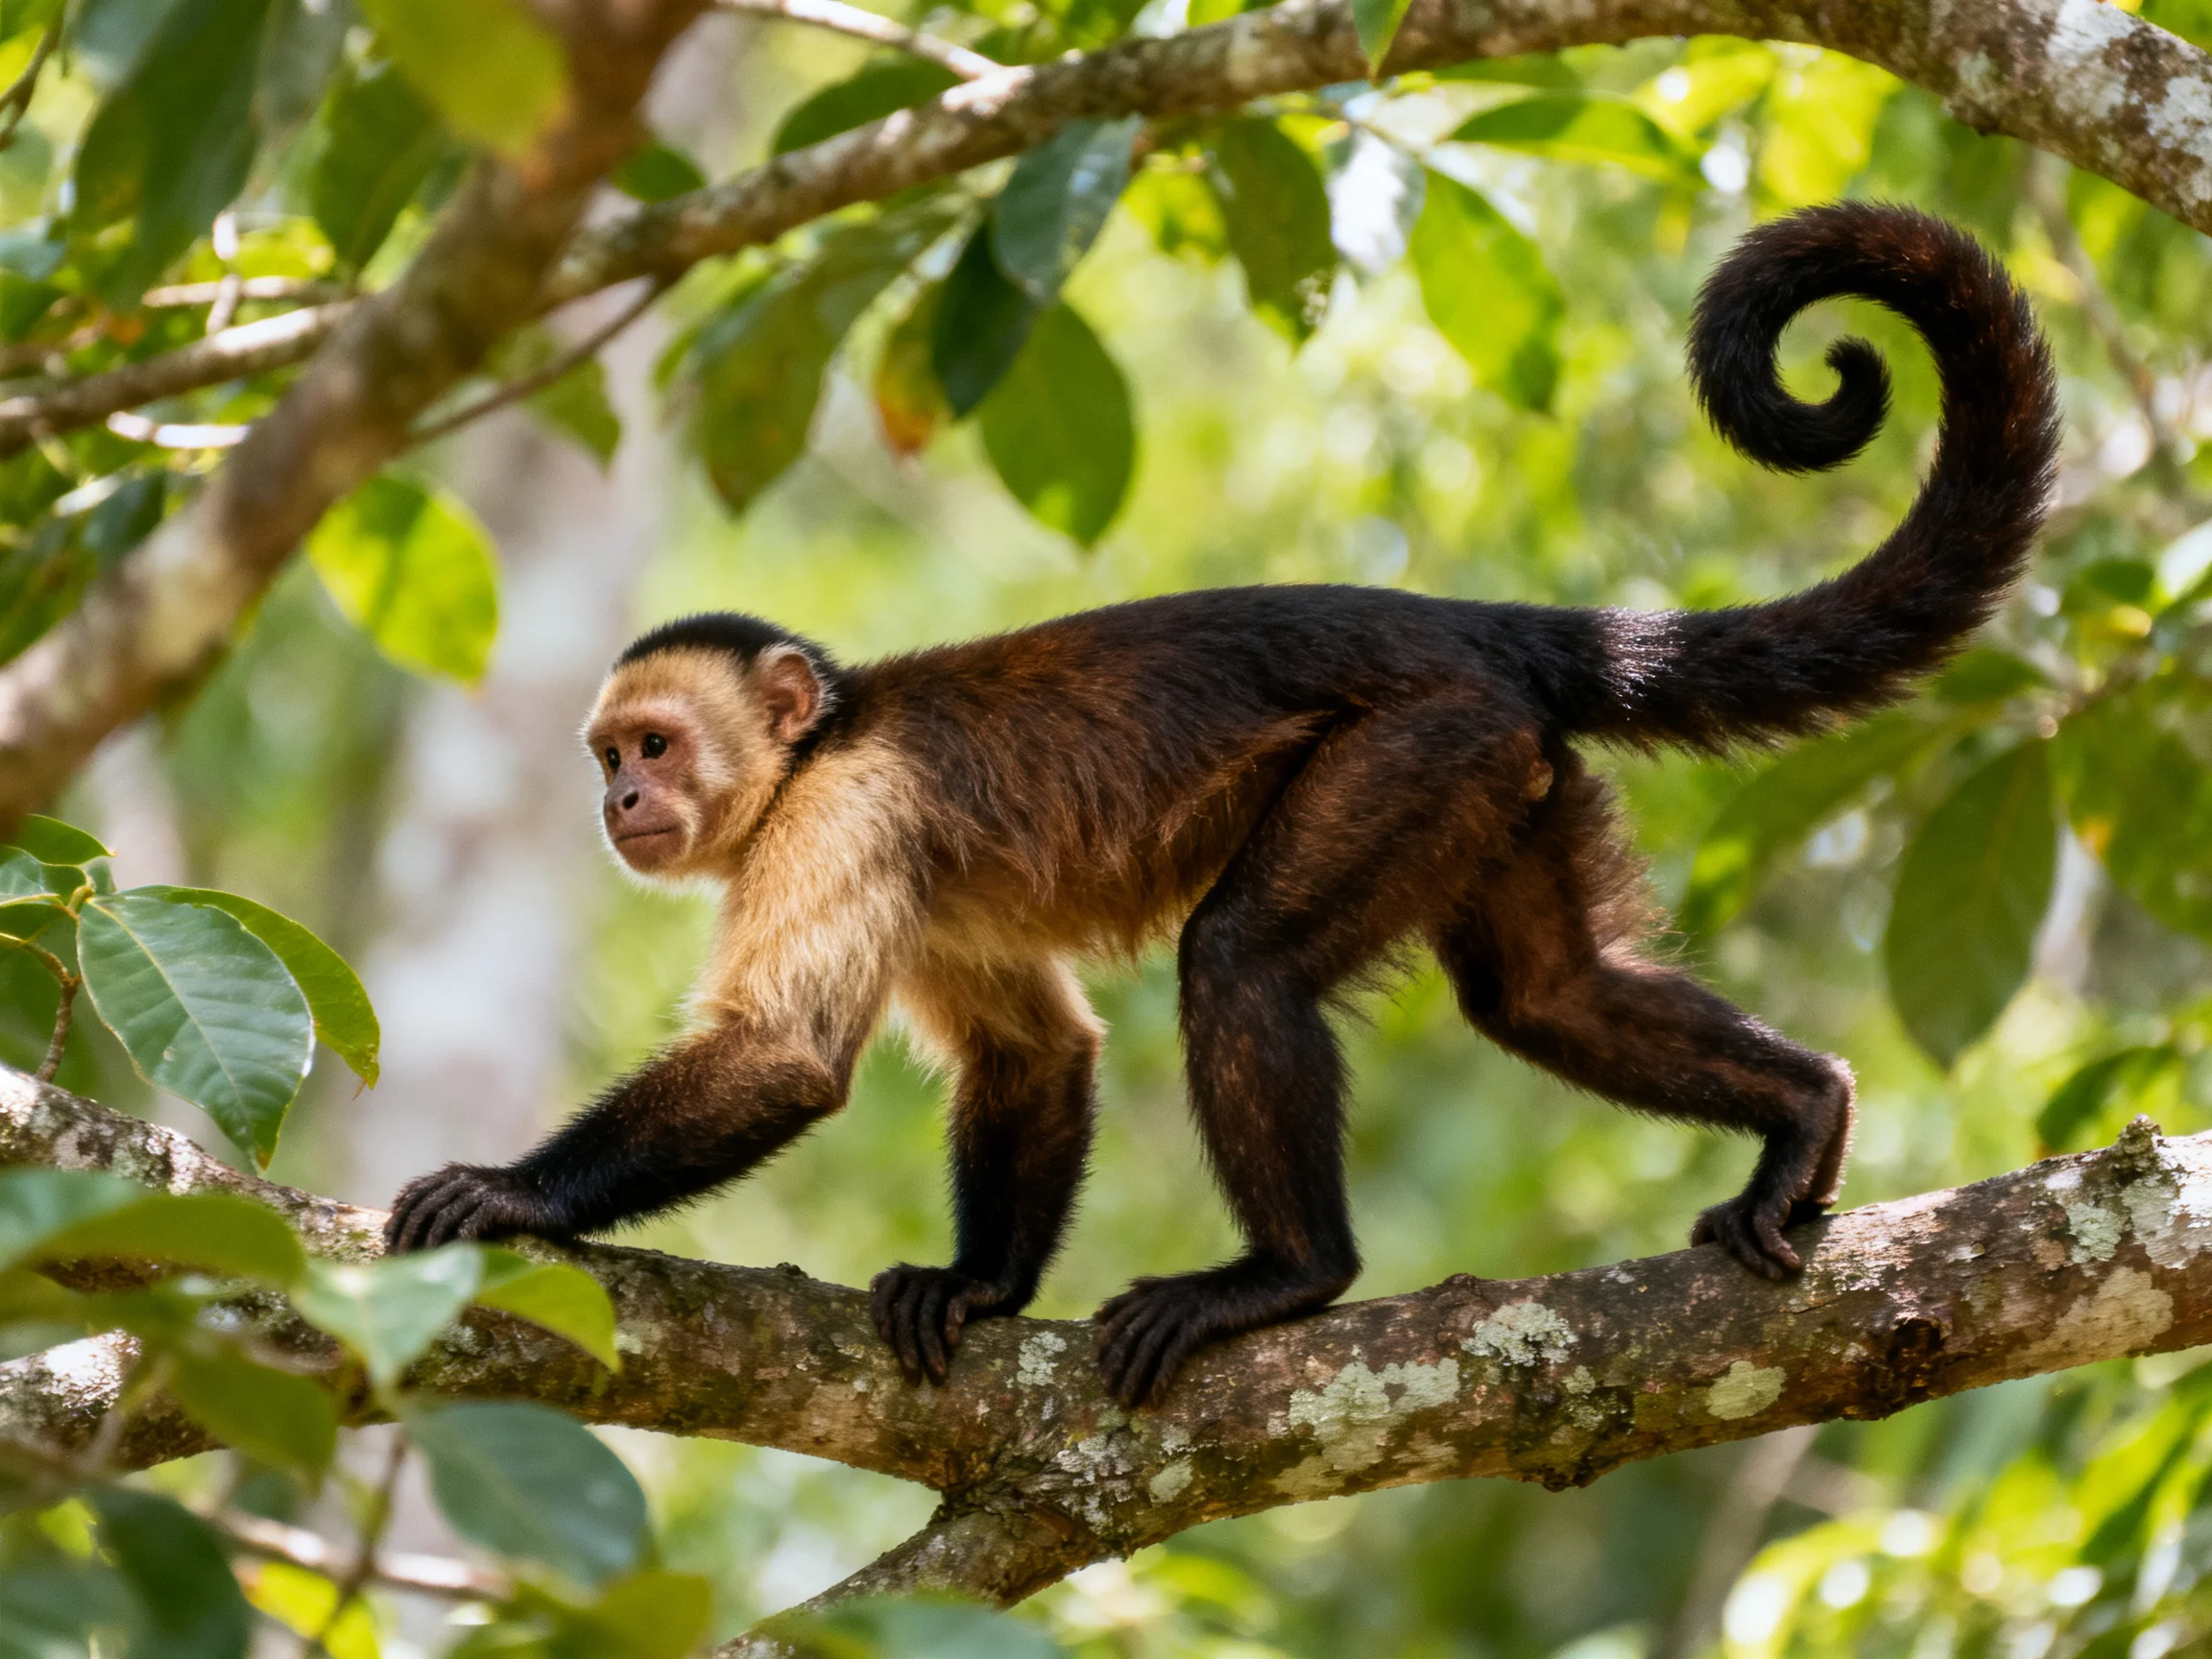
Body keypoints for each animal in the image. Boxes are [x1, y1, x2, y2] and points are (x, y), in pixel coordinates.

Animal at [384, 202, 2059, 1408]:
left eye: (656, 747)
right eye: (609, 757)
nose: (619, 801)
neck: (819, 747)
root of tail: (1482, 630)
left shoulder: (842, 811)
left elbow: (784, 1056)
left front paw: (517, 1197)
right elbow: (1038, 1052)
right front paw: (981, 1288)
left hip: (1416, 742)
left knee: (1242, 959)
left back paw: (1292, 1273)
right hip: (1501, 764)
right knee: (1545, 994)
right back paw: (1802, 1108)